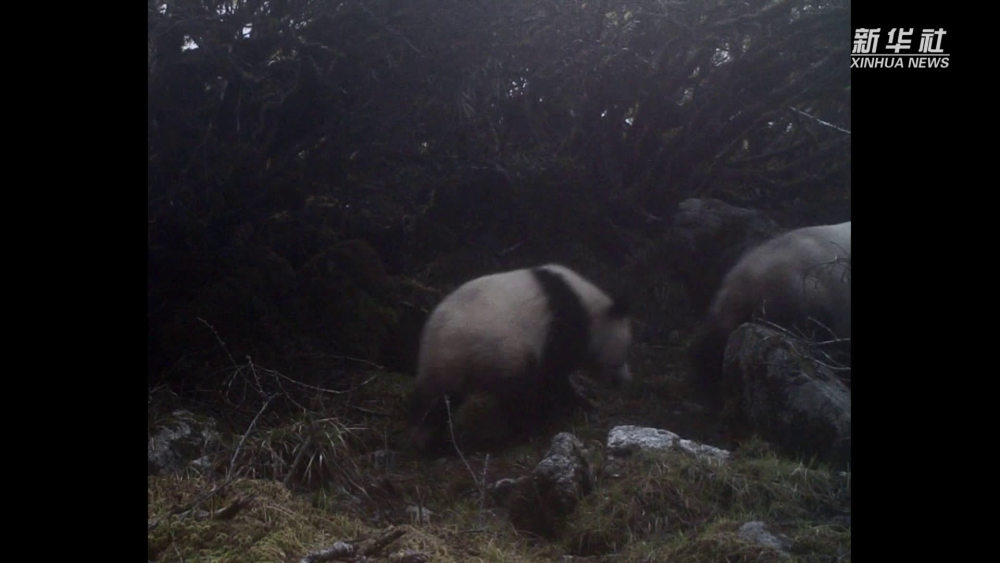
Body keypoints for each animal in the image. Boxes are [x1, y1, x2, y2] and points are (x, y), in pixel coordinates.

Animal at [408, 264, 628, 454]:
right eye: (624, 353)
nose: (625, 379)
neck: (589, 305)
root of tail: (434, 337)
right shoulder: (562, 325)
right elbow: (553, 375)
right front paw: (579, 405)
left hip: (452, 363)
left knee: (436, 401)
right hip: (489, 351)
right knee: (516, 391)